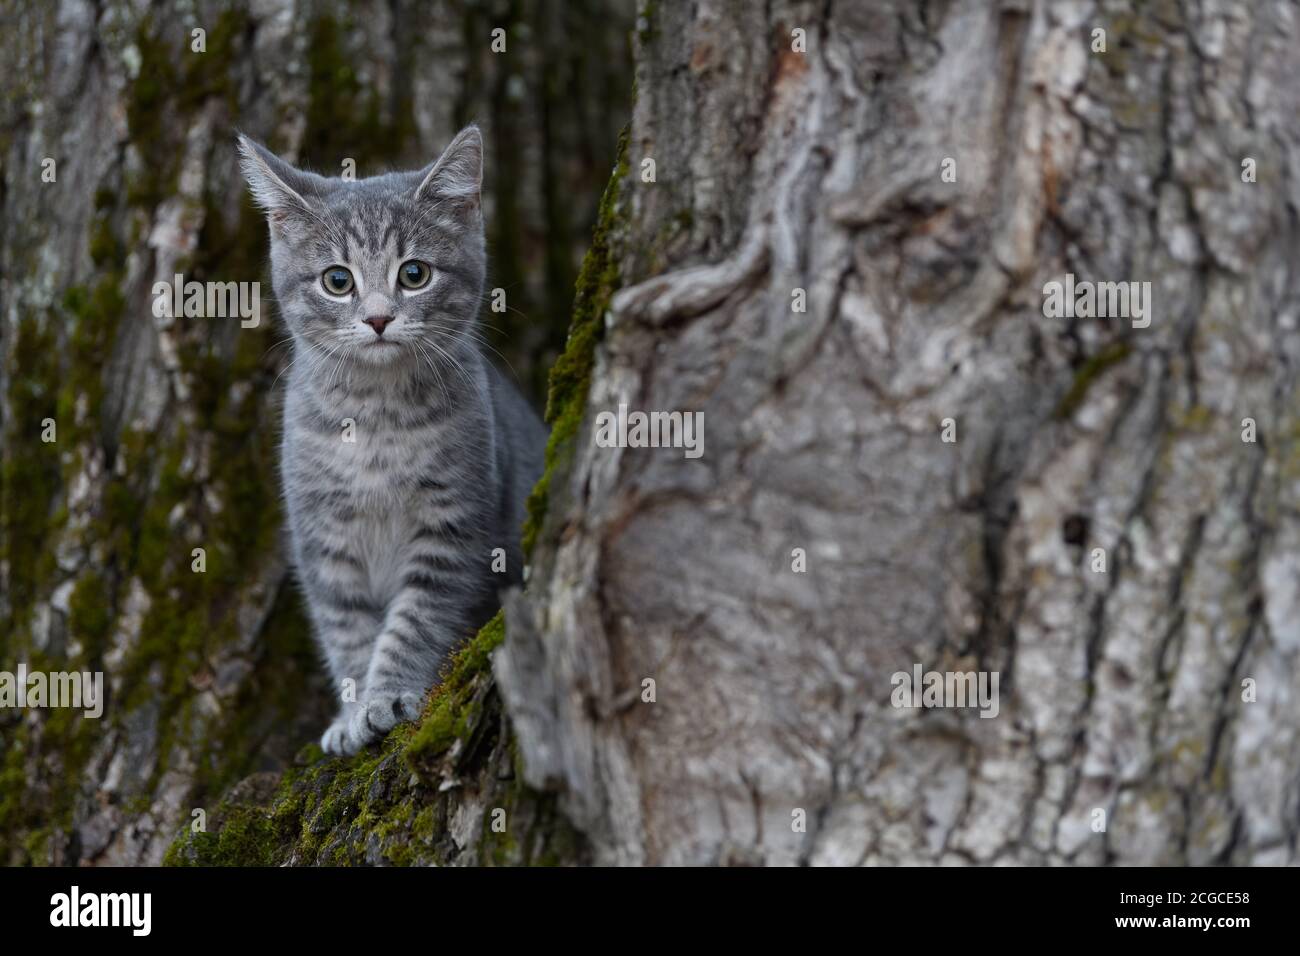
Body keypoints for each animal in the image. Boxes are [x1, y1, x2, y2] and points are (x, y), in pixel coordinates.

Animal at [237, 127, 543, 754]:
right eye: (337, 280)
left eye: (414, 274)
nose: (378, 319)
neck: (376, 418)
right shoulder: (323, 537)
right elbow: (346, 626)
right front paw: (353, 710)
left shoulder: (453, 526)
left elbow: (417, 619)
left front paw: (388, 696)